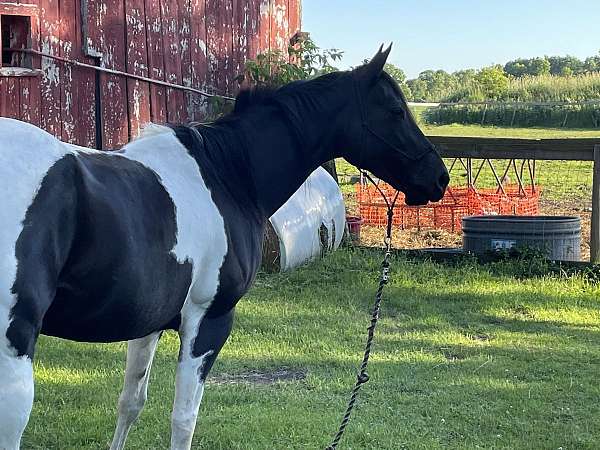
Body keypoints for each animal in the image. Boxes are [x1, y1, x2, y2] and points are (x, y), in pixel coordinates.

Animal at [0, 47, 448, 448]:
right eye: (395, 110)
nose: (438, 177)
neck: (227, 175)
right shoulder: (208, 321)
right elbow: (183, 420)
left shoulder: (147, 325)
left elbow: (130, 403)